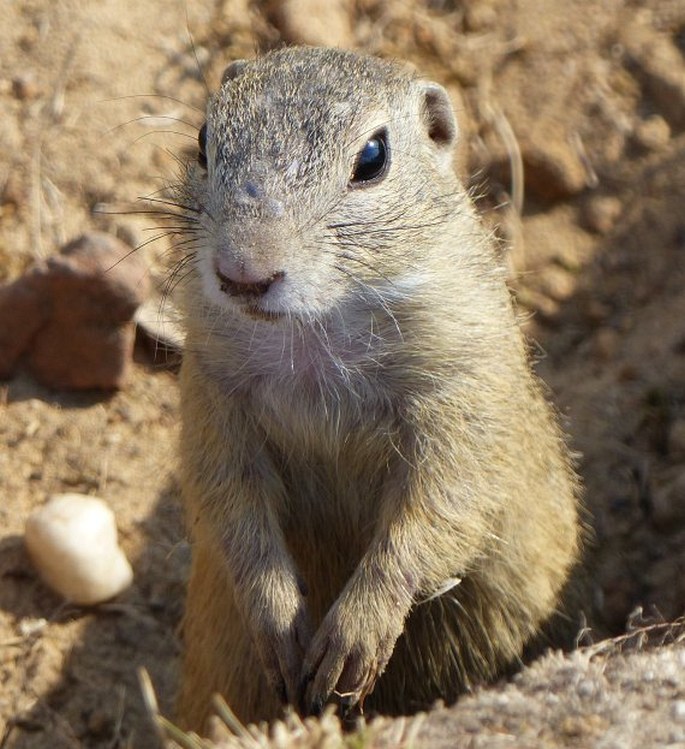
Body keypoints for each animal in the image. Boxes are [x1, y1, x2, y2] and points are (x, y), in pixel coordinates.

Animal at [172, 45, 584, 732]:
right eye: (204, 141)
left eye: (372, 158)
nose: (242, 275)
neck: (313, 331)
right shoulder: (213, 398)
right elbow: (229, 506)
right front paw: (279, 624)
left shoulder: (458, 393)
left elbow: (437, 509)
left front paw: (352, 640)